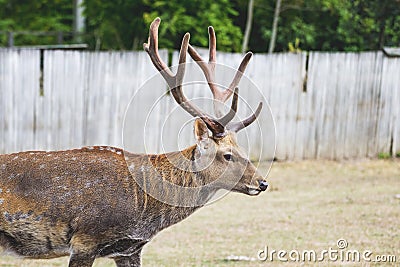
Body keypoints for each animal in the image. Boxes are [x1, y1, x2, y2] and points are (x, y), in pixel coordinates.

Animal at [0, 17, 268, 266]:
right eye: (227, 155)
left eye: (242, 148)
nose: (262, 182)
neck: (143, 206)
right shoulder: (85, 239)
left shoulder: (129, 248)